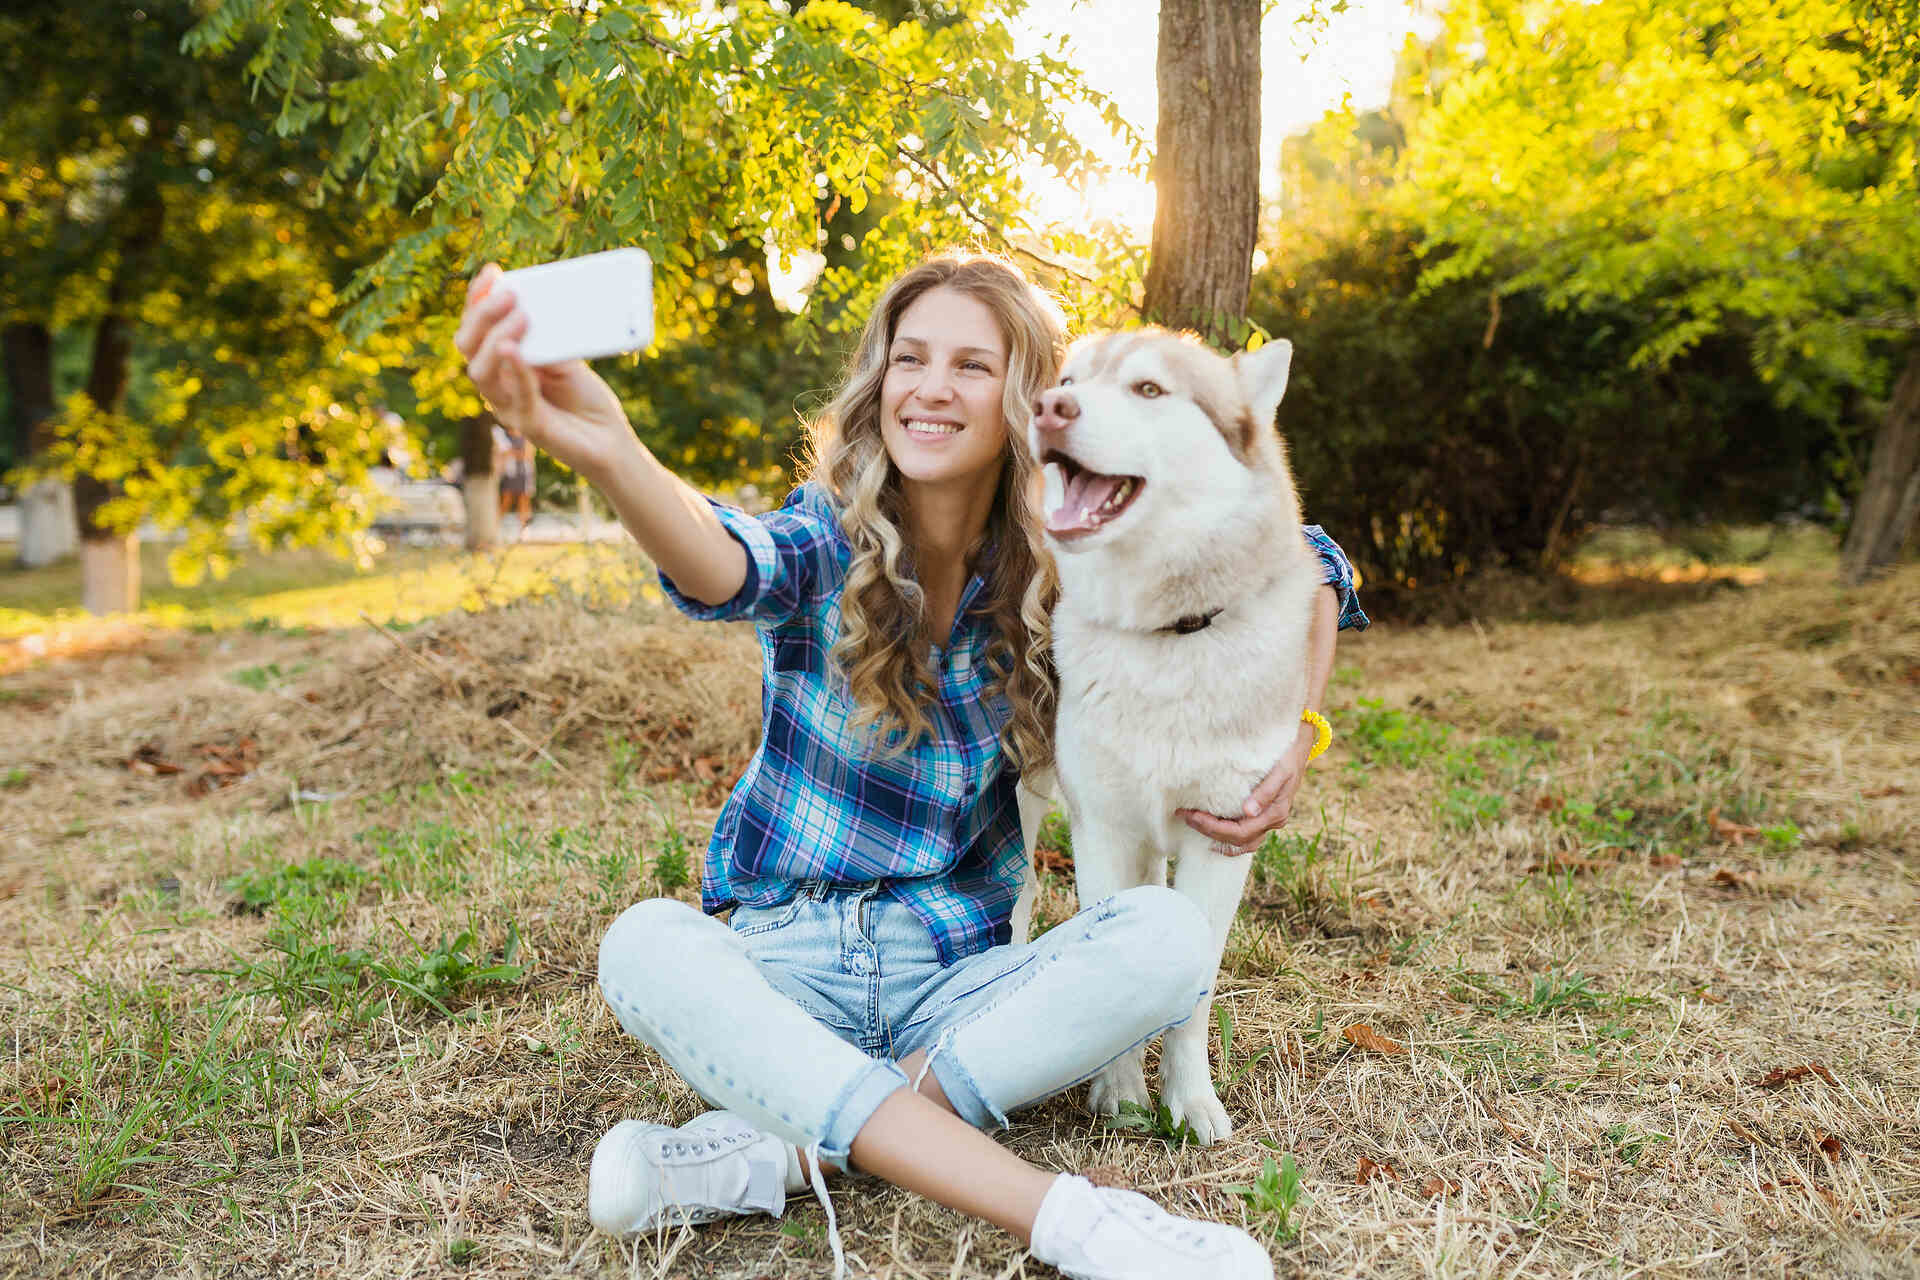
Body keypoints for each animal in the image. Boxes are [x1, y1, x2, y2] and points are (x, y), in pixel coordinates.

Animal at [1021, 328, 1320, 1143]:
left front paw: (1189, 1102)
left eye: (1149, 390)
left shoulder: (1222, 840)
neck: (1166, 637)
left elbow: (1195, 989)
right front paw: (1122, 1093)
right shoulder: (1102, 831)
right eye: (1068, 382)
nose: (1047, 408)